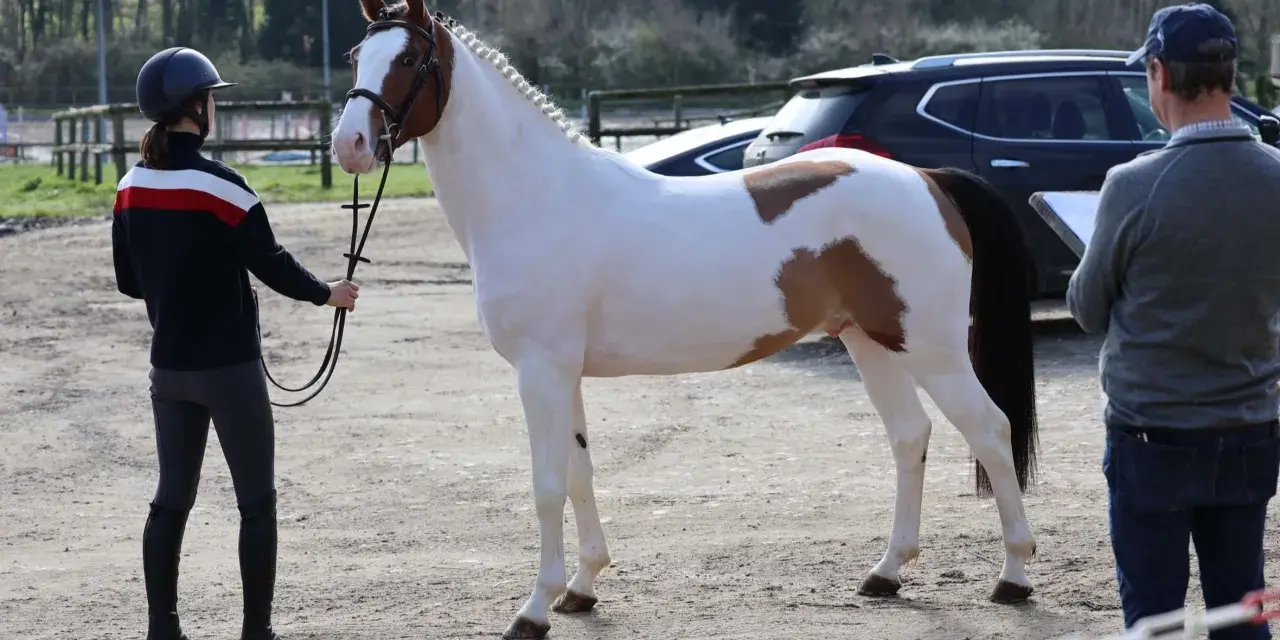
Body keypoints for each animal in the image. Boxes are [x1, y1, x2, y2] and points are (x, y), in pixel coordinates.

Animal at [329, 2, 1040, 637]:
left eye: (411, 58)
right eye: (356, 55)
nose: (350, 144)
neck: (536, 198)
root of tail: (927, 178)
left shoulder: (540, 372)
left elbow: (548, 485)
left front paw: (534, 610)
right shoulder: (564, 373)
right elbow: (581, 471)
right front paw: (582, 589)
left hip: (933, 349)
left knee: (990, 430)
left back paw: (1014, 577)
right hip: (871, 342)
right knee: (910, 436)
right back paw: (886, 573)